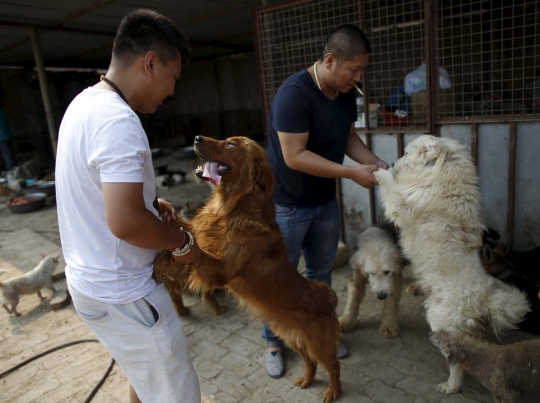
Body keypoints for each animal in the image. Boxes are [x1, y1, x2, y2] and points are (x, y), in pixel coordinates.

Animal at [156, 137, 342, 403]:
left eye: (231, 144)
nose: (196, 138)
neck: (231, 208)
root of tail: (326, 297)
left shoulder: (220, 271)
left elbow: (198, 252)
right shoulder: (200, 229)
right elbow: (186, 230)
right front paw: (162, 212)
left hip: (318, 342)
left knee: (333, 364)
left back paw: (333, 391)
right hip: (294, 338)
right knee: (310, 362)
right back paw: (306, 380)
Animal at [374, 137, 528, 396]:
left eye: (406, 152)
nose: (393, 162)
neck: (441, 176)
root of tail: (482, 298)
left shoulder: (403, 208)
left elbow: (391, 188)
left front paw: (379, 172)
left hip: (439, 322)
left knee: (457, 360)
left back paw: (451, 386)